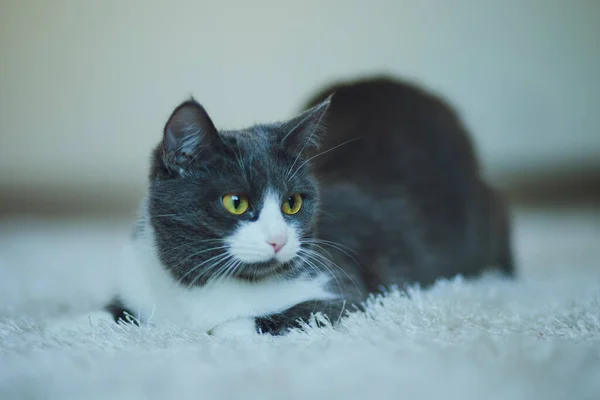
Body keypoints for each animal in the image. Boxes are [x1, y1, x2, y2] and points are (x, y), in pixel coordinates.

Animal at [105, 76, 512, 336]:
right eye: (236, 202)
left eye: (293, 203)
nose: (278, 240)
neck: (195, 287)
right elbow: (111, 314)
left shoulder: (342, 287)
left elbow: (248, 323)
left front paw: (222, 328)